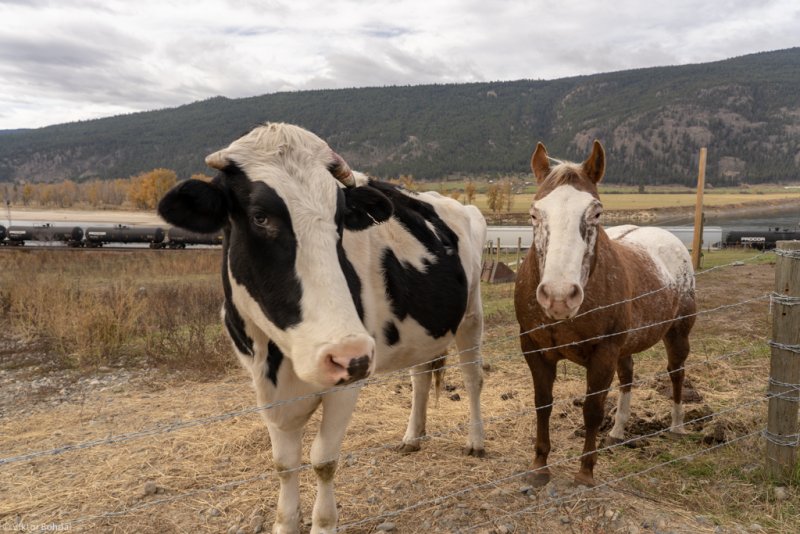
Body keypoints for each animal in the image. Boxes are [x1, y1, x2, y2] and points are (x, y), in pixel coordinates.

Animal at [154, 123, 484, 532]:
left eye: (340, 219)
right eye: (260, 217)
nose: (345, 353)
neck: (277, 358)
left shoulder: (350, 377)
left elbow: (323, 460)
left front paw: (323, 523)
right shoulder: (265, 386)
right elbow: (284, 464)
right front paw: (284, 523)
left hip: (471, 315)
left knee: (472, 377)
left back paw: (475, 440)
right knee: (420, 377)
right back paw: (412, 437)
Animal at [516, 140, 696, 488]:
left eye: (596, 213)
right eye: (534, 213)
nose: (559, 295)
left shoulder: (604, 353)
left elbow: (593, 409)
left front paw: (586, 472)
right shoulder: (534, 349)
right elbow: (542, 404)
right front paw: (539, 466)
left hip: (677, 333)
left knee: (676, 372)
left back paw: (678, 426)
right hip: (625, 347)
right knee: (627, 377)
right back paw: (618, 431)